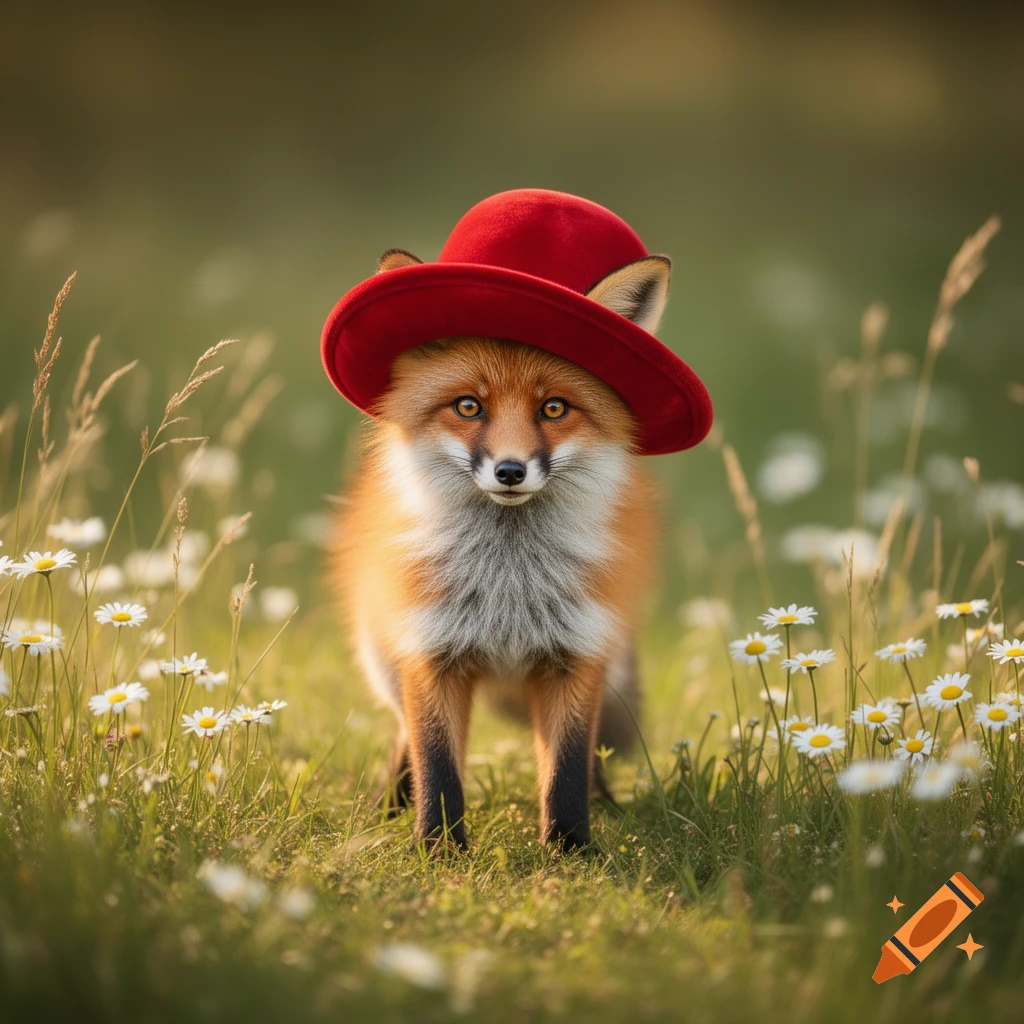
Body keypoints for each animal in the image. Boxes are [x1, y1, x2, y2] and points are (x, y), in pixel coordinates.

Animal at [330, 248, 672, 853]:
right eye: (469, 406)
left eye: (554, 409)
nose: (510, 470)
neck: (508, 586)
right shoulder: (431, 651)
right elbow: (436, 763)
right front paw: (438, 850)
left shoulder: (577, 653)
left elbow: (566, 768)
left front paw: (572, 851)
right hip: (385, 662)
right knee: (403, 736)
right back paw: (389, 807)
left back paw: (606, 804)